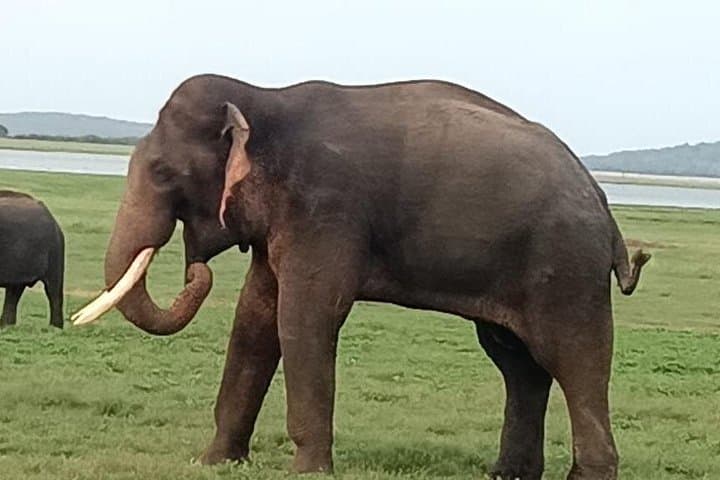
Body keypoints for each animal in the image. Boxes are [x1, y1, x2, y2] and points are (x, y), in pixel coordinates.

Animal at [74, 75, 649, 480]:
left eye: (162, 174)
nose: (194, 268)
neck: (264, 98)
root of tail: (605, 208)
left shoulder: (325, 208)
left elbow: (305, 316)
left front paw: (308, 471)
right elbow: (255, 317)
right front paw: (213, 462)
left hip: (566, 266)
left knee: (574, 359)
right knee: (518, 364)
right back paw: (507, 475)